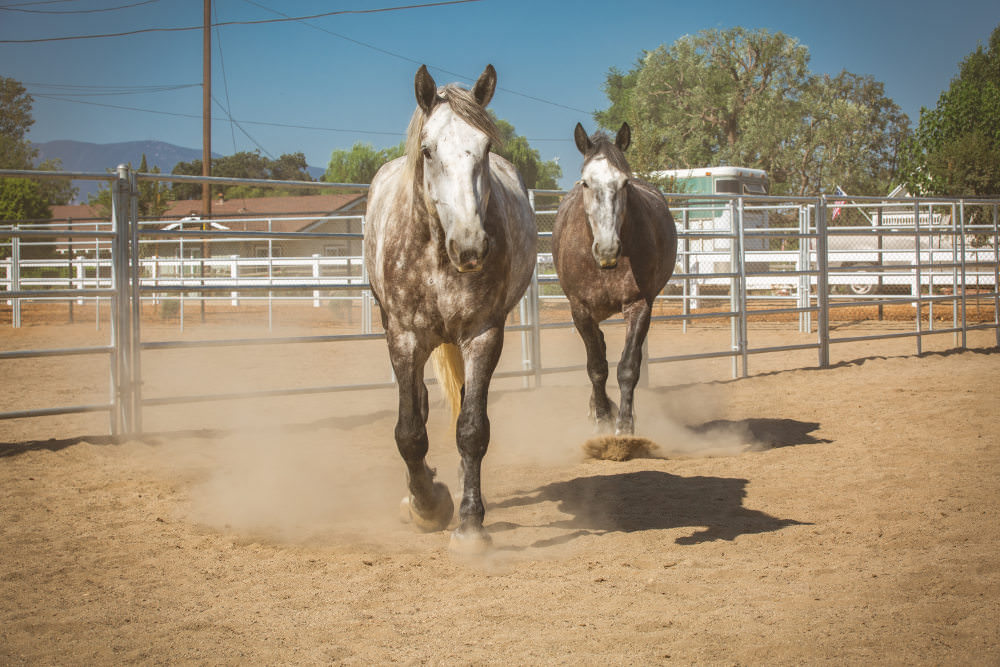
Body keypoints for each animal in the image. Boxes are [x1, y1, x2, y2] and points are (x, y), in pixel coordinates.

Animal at [552, 124, 676, 438]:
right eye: (585, 183)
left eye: (624, 183)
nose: (607, 249)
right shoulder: (580, 310)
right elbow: (596, 366)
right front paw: (603, 419)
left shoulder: (639, 306)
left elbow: (628, 367)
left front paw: (624, 425)